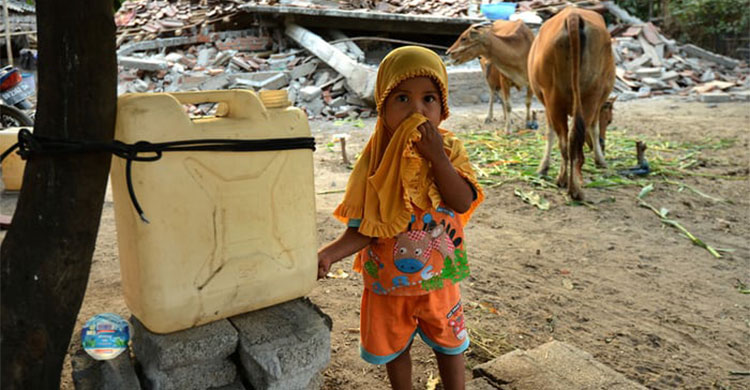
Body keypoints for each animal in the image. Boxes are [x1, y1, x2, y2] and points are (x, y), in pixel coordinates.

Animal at [528, 7, 616, 200]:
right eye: (610, 120)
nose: (603, 144)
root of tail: (573, 14)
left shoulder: (547, 102)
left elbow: (551, 132)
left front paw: (543, 168)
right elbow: (594, 128)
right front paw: (600, 159)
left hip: (555, 97)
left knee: (567, 139)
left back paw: (567, 183)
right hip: (589, 95)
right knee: (574, 137)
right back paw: (574, 184)